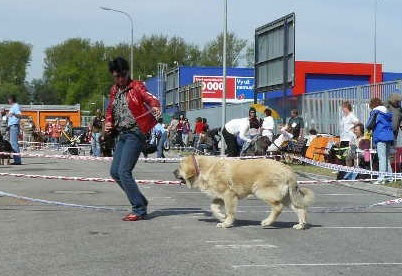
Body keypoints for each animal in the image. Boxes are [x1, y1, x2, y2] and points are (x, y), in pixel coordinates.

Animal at [173, 155, 314, 229]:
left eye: (179, 167)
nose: (173, 172)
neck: (202, 169)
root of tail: (288, 169)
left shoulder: (229, 195)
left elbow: (230, 211)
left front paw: (227, 223)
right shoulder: (220, 196)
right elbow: (213, 206)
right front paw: (221, 216)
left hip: (262, 191)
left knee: (278, 207)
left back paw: (267, 222)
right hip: (287, 197)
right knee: (300, 209)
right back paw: (300, 225)